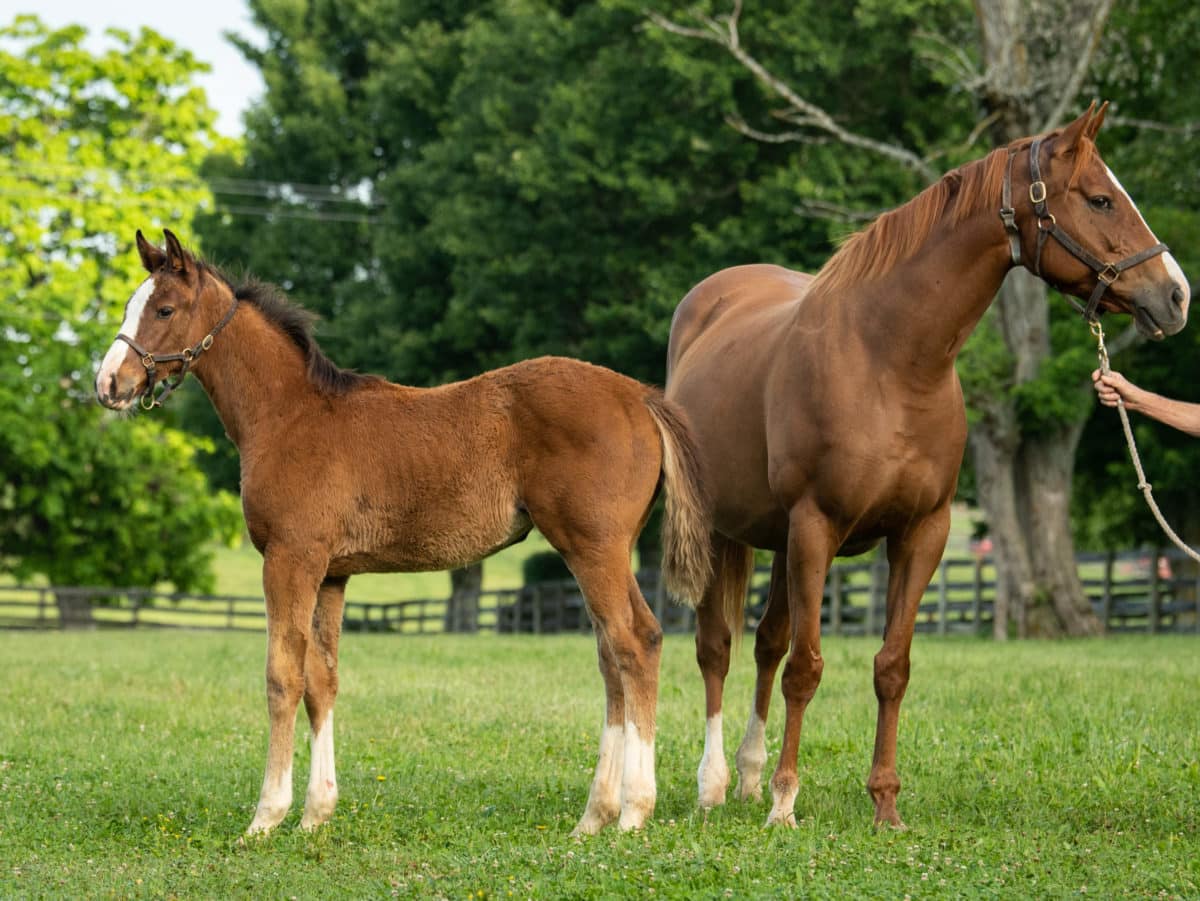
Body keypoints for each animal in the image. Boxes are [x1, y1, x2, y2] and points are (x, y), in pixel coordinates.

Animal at [98, 229, 710, 835]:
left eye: (164, 308)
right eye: (132, 305)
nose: (109, 384)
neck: (289, 414)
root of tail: (640, 396)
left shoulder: (290, 558)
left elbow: (282, 677)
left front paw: (267, 815)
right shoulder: (332, 572)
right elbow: (322, 681)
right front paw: (316, 813)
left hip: (593, 546)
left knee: (634, 643)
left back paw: (633, 810)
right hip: (600, 550)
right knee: (615, 654)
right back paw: (594, 815)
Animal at [667, 101, 1190, 830]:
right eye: (1099, 198)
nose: (1176, 297)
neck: (888, 359)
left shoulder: (922, 532)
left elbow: (891, 666)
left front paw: (885, 804)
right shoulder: (817, 527)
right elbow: (807, 666)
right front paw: (785, 802)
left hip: (777, 538)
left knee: (766, 642)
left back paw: (747, 774)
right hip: (726, 531)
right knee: (717, 647)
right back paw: (715, 784)